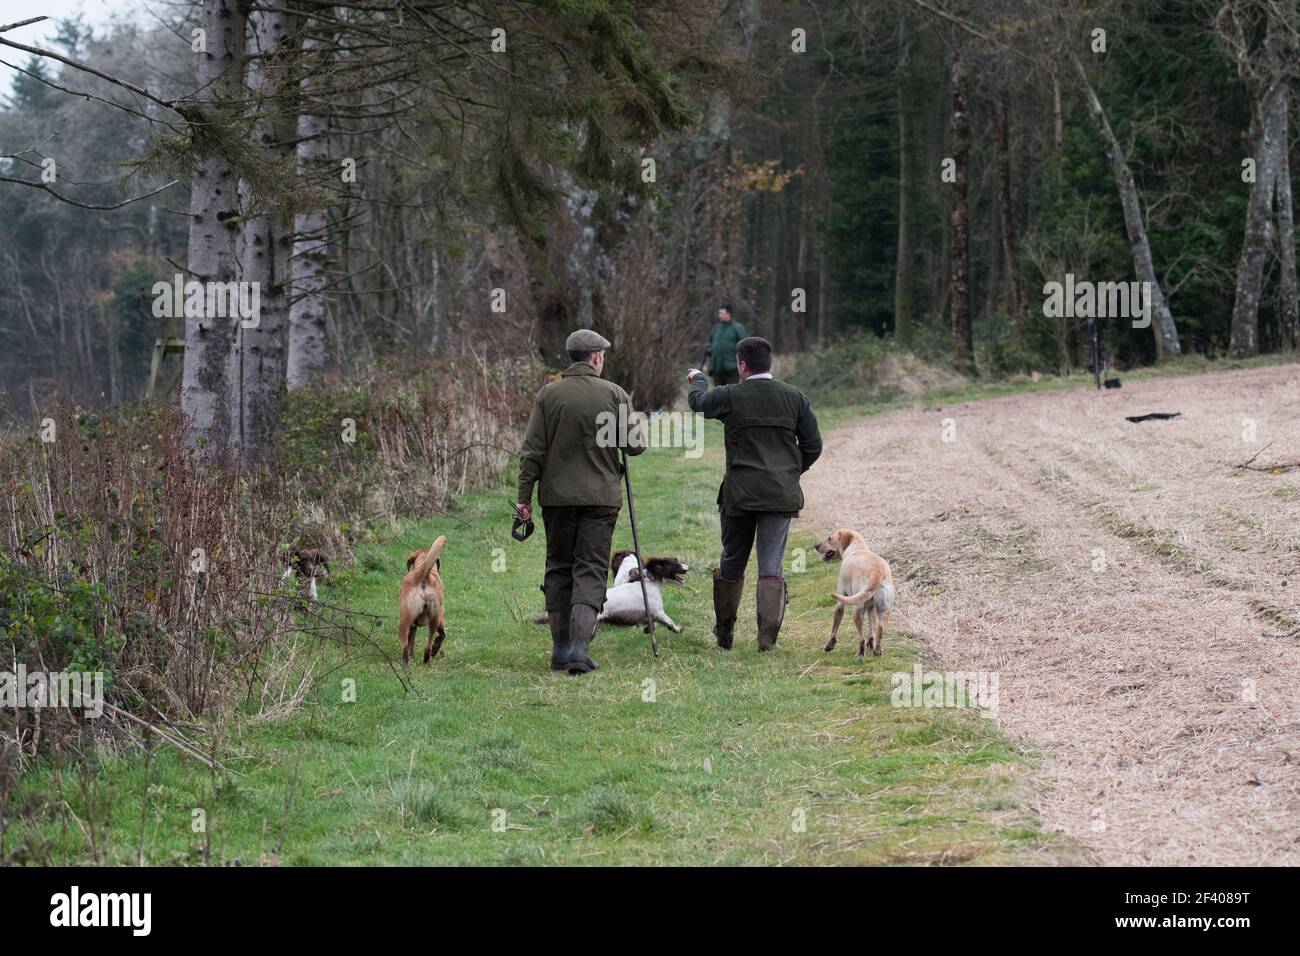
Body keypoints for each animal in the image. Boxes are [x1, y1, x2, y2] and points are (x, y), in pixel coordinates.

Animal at [811, 530, 894, 658]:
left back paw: (860, 654)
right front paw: (871, 644)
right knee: (879, 630)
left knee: (861, 638)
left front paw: (830, 645)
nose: (816, 546)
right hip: (884, 610)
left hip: (857, 611)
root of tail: (876, 571)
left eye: (829, 538)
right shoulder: (871, 608)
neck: (857, 547)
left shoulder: (841, 602)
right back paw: (877, 651)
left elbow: (835, 627)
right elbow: (871, 629)